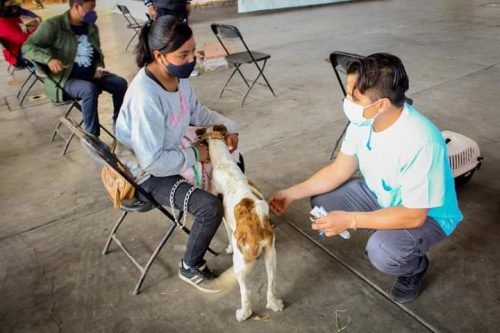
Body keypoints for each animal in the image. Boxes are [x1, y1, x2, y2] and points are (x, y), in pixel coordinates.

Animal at [200, 125, 286, 322]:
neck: (223, 161)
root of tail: (256, 233)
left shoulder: (225, 221)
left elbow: (228, 237)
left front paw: (228, 247)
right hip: (272, 257)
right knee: (271, 286)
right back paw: (275, 304)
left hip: (239, 266)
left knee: (245, 294)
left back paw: (243, 313)